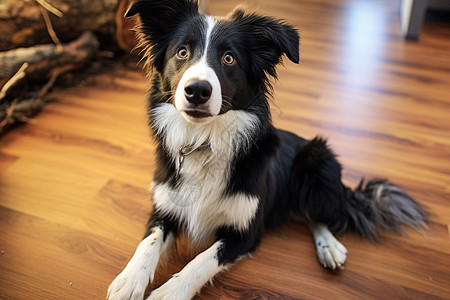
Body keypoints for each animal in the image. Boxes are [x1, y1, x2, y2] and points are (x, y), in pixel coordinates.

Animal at [107, 1, 428, 298]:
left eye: (229, 58)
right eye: (182, 52)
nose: (197, 90)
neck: (205, 141)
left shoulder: (247, 231)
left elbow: (201, 261)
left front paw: (169, 292)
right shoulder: (164, 208)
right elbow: (148, 243)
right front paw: (128, 281)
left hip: (316, 161)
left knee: (316, 214)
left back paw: (329, 247)